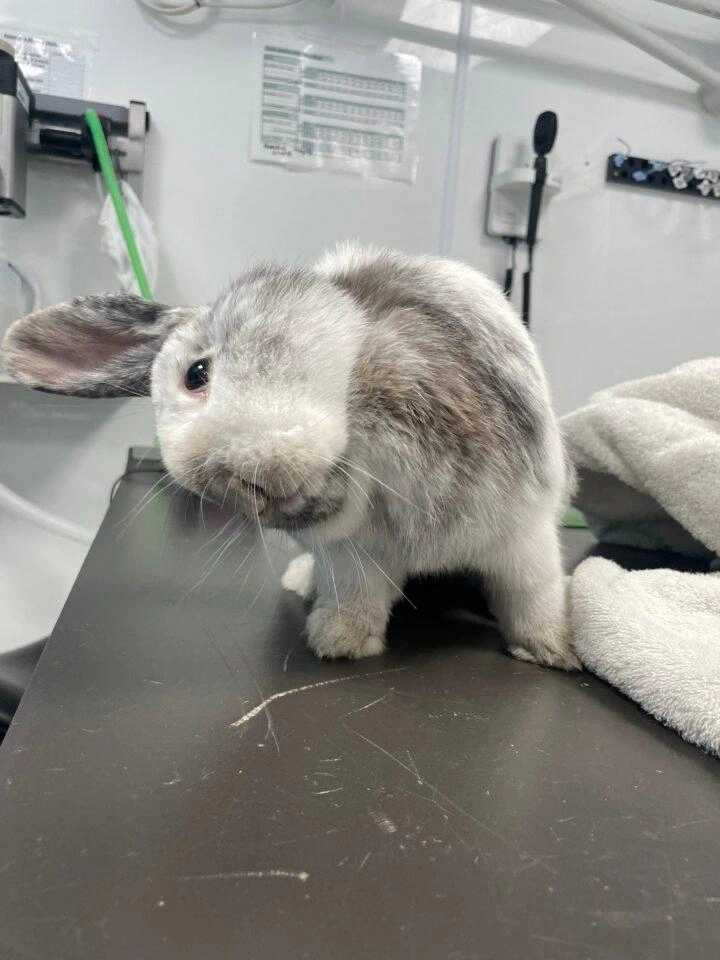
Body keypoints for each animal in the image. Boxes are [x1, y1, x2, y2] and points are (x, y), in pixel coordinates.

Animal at [1, 243, 579, 670]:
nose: (250, 491)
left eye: (197, 374)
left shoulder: (522, 534)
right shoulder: (352, 555)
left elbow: (533, 595)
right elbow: (355, 596)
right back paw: (302, 581)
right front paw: (339, 641)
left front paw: (553, 651)